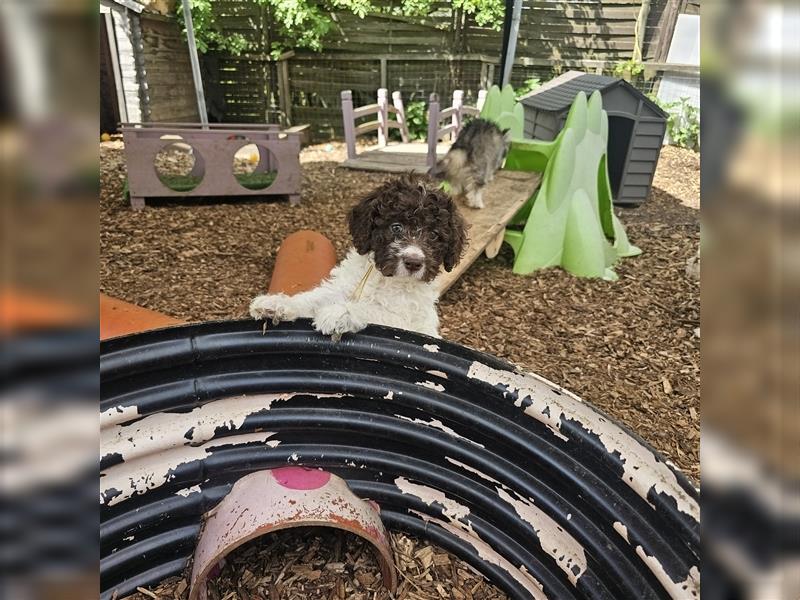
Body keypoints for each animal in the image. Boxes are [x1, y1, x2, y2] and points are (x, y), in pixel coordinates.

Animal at [248, 176, 462, 340]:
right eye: (396, 227)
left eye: (433, 235)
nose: (414, 263)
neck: (384, 278)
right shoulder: (343, 287)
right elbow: (314, 298)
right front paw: (276, 304)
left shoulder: (406, 321)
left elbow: (373, 310)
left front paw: (340, 313)